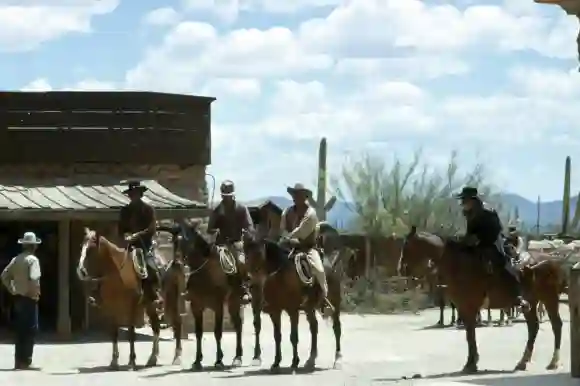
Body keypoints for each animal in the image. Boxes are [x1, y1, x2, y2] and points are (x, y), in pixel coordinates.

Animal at [75, 228, 184, 370]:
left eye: (91, 249)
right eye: (82, 246)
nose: (80, 271)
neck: (118, 274)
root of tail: (172, 261)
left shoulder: (131, 307)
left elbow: (131, 333)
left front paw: (132, 360)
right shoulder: (111, 308)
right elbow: (114, 332)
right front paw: (114, 361)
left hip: (171, 299)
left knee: (177, 322)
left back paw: (177, 357)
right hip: (150, 305)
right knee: (156, 328)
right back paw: (152, 358)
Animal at [159, 220, 247, 370]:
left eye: (188, 241)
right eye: (174, 241)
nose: (177, 264)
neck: (205, 273)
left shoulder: (218, 306)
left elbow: (217, 332)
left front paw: (219, 360)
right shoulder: (196, 306)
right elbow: (199, 333)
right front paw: (197, 360)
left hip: (236, 300)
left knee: (241, 326)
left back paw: (241, 357)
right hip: (231, 303)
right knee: (237, 324)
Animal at [245, 238, 344, 370]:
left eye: (259, 254)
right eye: (246, 255)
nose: (249, 279)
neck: (279, 276)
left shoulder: (292, 311)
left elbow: (293, 337)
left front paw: (294, 362)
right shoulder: (275, 311)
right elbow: (277, 335)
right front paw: (276, 362)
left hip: (335, 303)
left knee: (336, 328)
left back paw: (338, 359)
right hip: (309, 308)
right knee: (314, 327)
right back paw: (311, 359)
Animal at [398, 228, 560, 372]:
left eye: (407, 245)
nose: (401, 269)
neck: (459, 265)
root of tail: (550, 260)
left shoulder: (468, 307)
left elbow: (470, 335)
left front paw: (471, 363)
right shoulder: (464, 307)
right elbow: (470, 334)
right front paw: (472, 362)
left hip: (549, 299)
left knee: (556, 325)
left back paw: (554, 362)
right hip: (532, 303)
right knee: (534, 327)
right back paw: (522, 362)